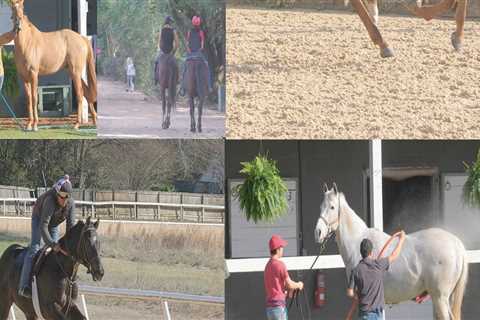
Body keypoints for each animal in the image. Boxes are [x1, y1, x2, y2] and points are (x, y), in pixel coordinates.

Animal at [5, 0, 96, 131]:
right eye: (13, 8)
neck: (27, 43)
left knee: (80, 95)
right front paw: (28, 124)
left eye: (22, 8)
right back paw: (94, 121)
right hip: (73, 73)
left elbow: (34, 98)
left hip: (75, 72)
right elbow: (29, 99)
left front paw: (35, 125)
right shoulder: (24, 77)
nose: (18, 25)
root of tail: (82, 38)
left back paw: (77, 124)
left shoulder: (33, 74)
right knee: (87, 92)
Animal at [316, 184, 468, 318]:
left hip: (440, 298)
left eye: (332, 207)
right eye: (321, 206)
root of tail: (456, 244)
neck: (358, 242)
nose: (318, 232)